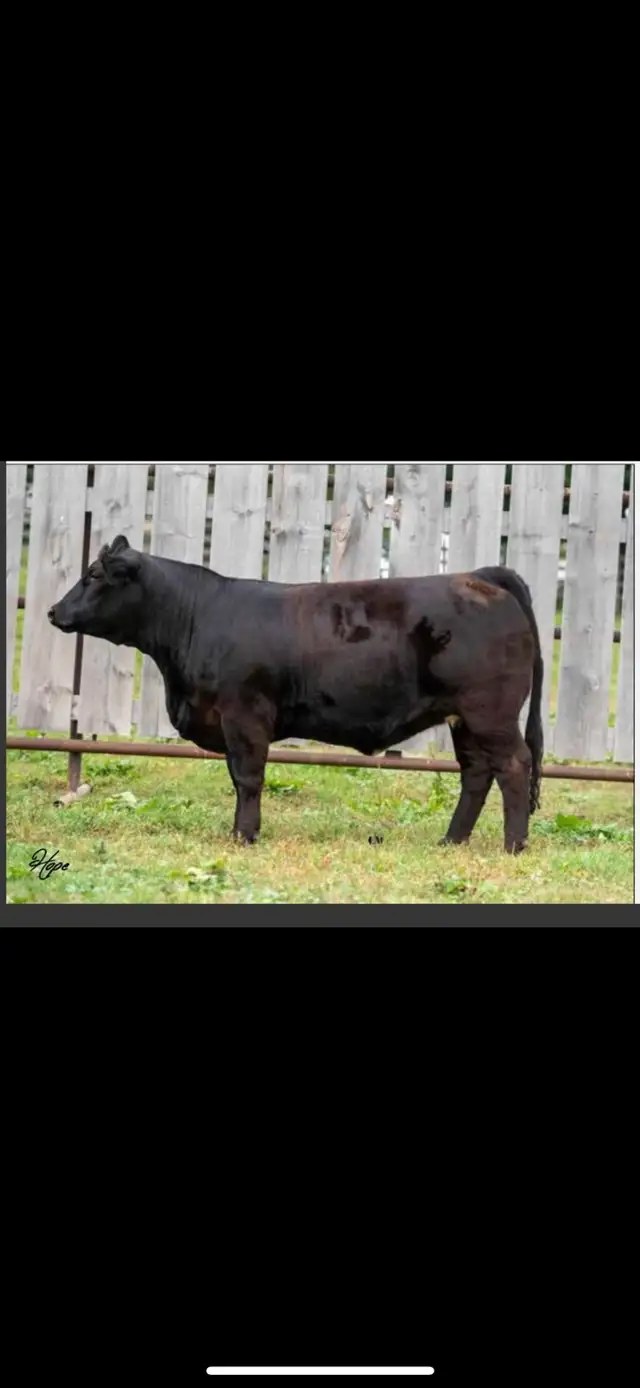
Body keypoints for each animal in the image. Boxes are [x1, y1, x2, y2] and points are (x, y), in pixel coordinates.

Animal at [48, 535, 544, 853]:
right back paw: (451, 841)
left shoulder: (244, 713)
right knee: (476, 773)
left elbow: (248, 777)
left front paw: (245, 837)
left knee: (513, 766)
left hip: (490, 711)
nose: (53, 611)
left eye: (94, 574)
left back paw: (513, 845)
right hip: (465, 717)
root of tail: (478, 575)